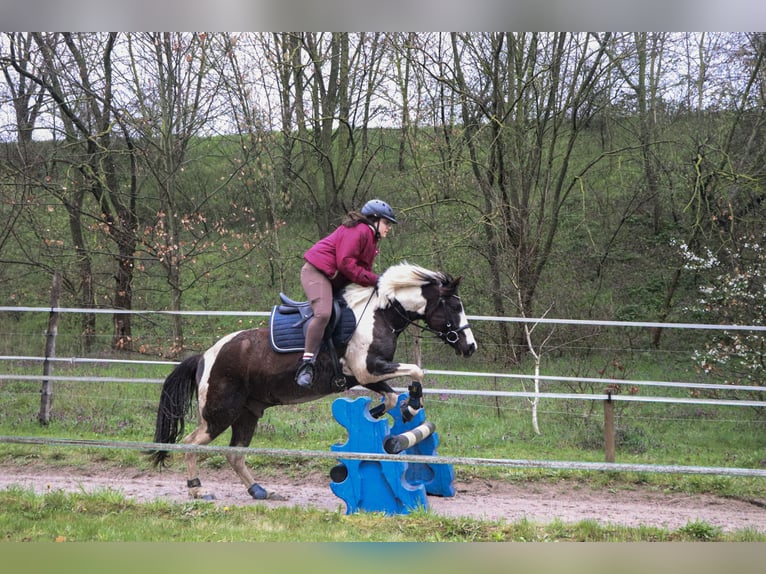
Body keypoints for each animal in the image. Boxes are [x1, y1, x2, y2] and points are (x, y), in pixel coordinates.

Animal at [147, 264, 476, 502]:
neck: (379, 314)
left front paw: (393, 412)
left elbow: (394, 395)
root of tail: (204, 356)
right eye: (453, 307)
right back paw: (198, 489)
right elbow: (417, 372)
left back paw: (260, 491)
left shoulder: (366, 375)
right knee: (191, 443)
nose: (470, 347)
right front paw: (410, 407)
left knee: (234, 453)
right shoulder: (368, 369)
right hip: (220, 413)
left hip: (247, 413)